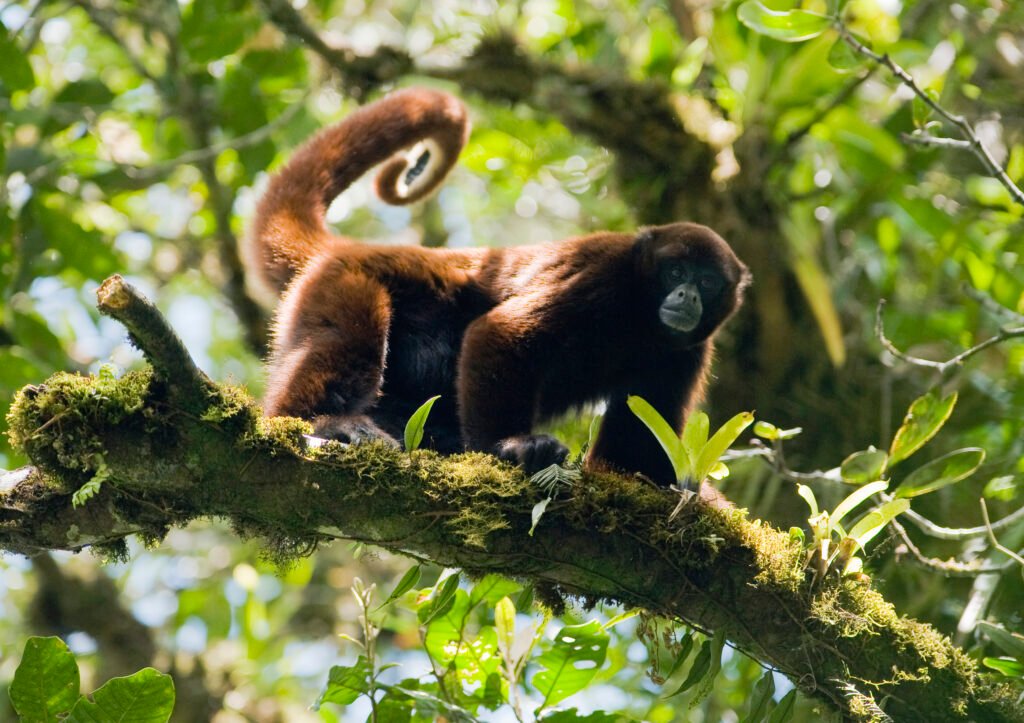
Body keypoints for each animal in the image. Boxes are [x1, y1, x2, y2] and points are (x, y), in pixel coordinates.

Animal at [249, 87, 750, 487]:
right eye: (676, 272)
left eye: (707, 281)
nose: (687, 296)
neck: (640, 314)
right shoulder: (601, 277)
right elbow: (502, 332)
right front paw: (511, 448)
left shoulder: (686, 352)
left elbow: (634, 450)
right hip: (340, 281)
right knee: (348, 336)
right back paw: (325, 421)